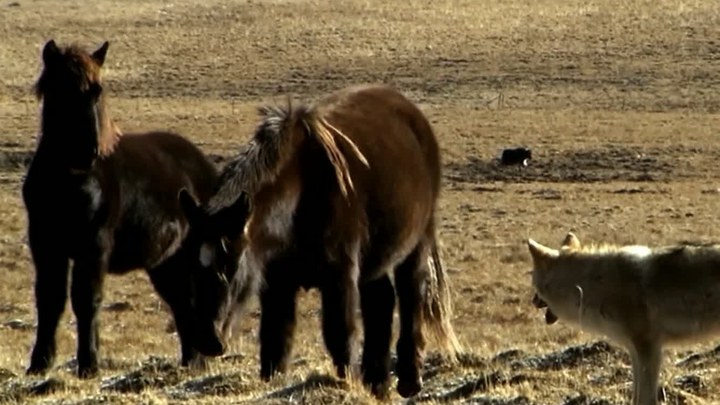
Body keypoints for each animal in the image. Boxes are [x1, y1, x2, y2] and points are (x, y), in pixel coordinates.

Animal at [23, 39, 228, 378]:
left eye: (97, 90)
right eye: (58, 88)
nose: (87, 152)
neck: (72, 180)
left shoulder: (93, 247)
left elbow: (86, 300)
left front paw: (89, 365)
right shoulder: (45, 244)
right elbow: (49, 299)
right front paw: (39, 364)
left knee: (201, 293)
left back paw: (205, 352)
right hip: (166, 261)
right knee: (181, 302)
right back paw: (191, 362)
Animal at [180, 83, 462, 396]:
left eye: (230, 264)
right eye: (189, 266)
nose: (208, 339)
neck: (300, 193)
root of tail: (414, 115)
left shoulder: (339, 275)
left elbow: (340, 334)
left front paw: (347, 384)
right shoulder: (277, 282)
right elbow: (275, 339)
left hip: (416, 244)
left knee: (412, 296)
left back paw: (409, 381)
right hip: (373, 262)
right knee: (381, 301)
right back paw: (377, 383)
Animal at [528, 232, 720, 404]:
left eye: (534, 286)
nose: (532, 301)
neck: (596, 285)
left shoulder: (649, 348)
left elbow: (645, 398)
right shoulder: (634, 350)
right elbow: (636, 395)